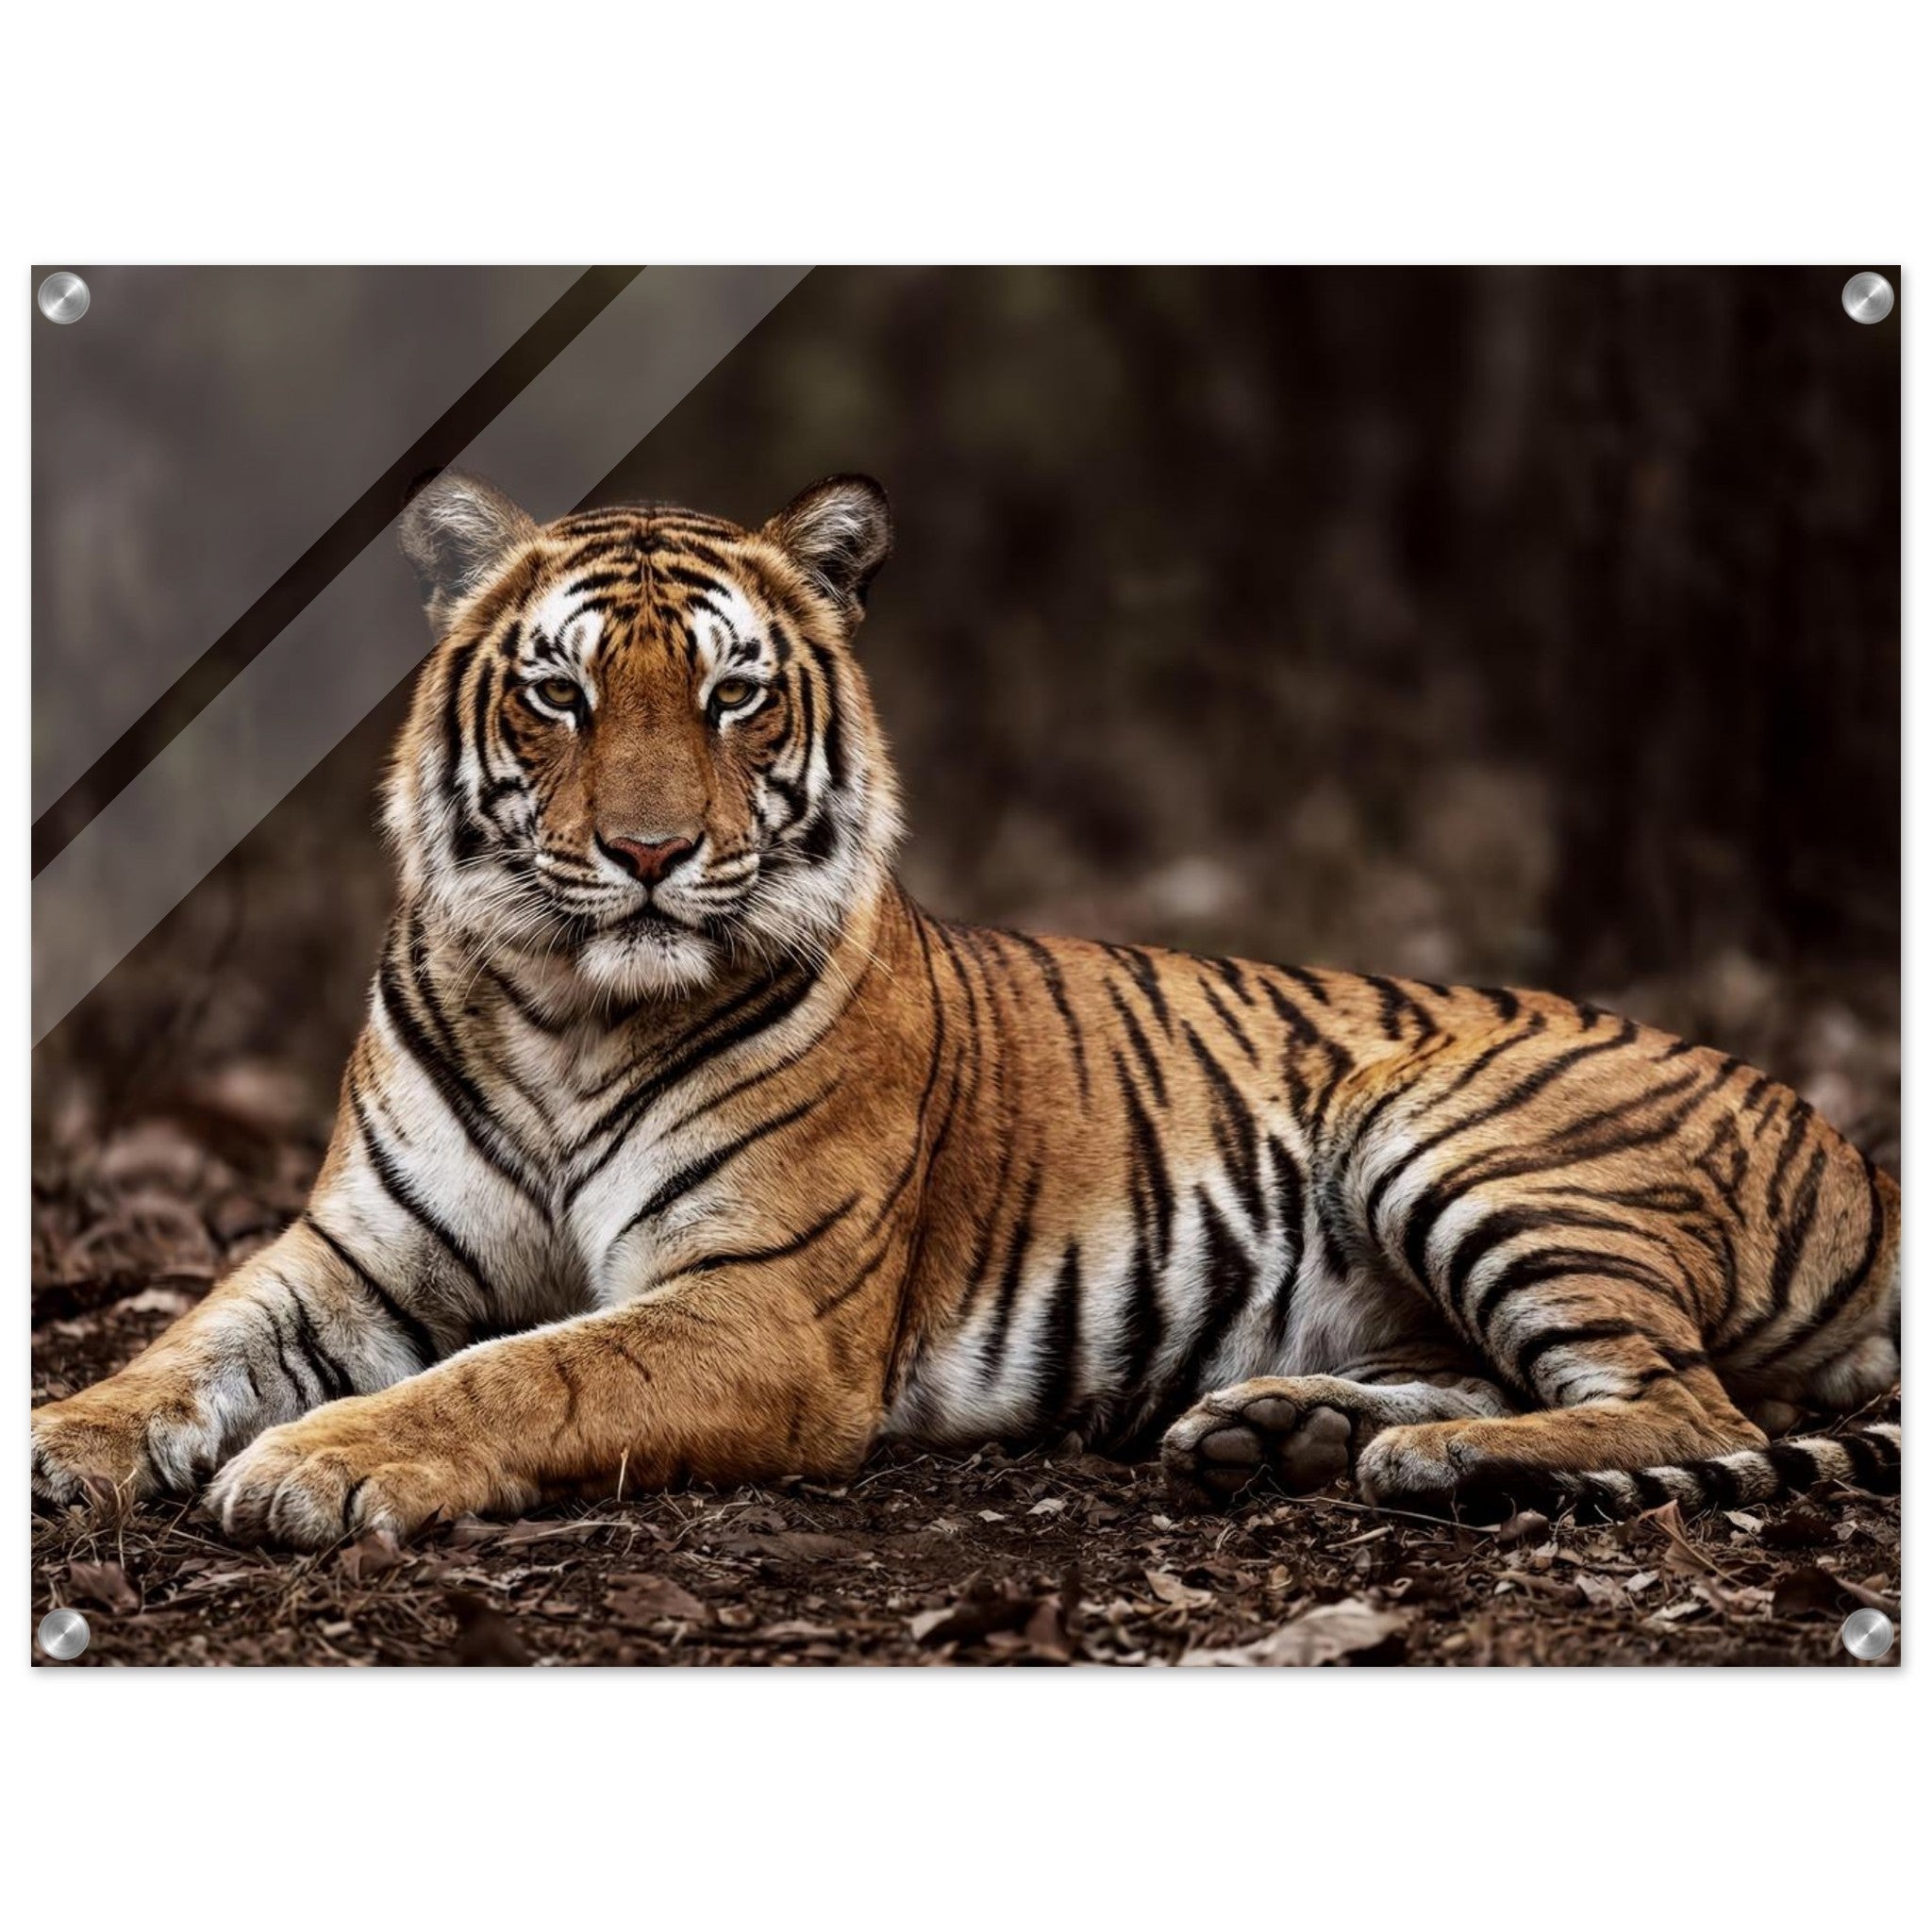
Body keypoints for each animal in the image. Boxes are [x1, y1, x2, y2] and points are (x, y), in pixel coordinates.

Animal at [30, 472, 1902, 1548]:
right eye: (559, 695)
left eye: (733, 696)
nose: (648, 854)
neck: (563, 1010)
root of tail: (1855, 1147)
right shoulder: (352, 1252)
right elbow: (182, 1342)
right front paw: (63, 1444)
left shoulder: (755, 1307)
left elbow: (521, 1375)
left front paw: (323, 1462)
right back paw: (1284, 1432)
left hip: (1451, 1127)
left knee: (1699, 1415)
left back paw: (1417, 1469)